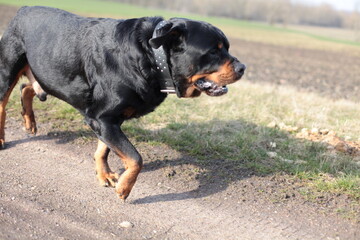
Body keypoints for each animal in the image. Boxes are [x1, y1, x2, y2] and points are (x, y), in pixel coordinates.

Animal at [0, 6, 246, 201]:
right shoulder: (101, 117)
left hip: (47, 77)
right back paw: (2, 138)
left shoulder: (107, 120)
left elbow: (104, 149)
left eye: (227, 47)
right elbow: (136, 158)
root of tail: (22, 9)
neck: (151, 58)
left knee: (28, 88)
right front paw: (124, 188)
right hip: (8, 70)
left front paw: (105, 174)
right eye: (213, 50)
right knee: (3, 103)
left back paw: (29, 121)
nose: (242, 67)